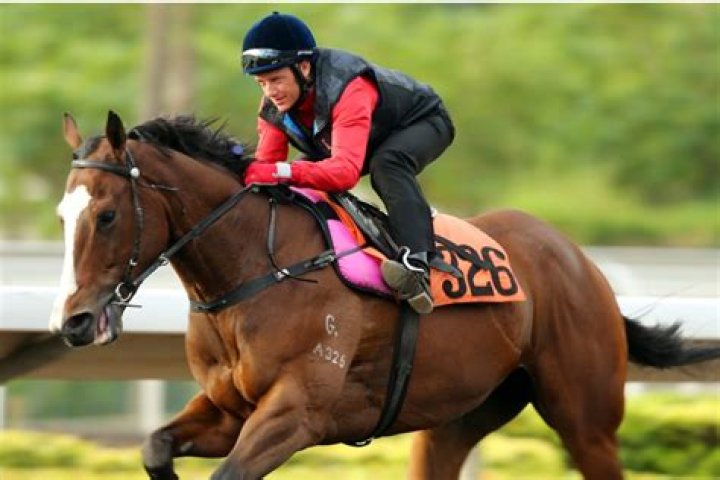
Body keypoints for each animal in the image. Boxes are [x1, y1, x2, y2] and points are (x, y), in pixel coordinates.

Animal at [50, 111, 720, 480]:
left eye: (107, 216)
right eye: (62, 215)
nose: (74, 322)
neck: (252, 271)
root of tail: (581, 261)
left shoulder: (298, 413)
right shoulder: (228, 410)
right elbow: (155, 445)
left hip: (587, 418)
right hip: (457, 417)